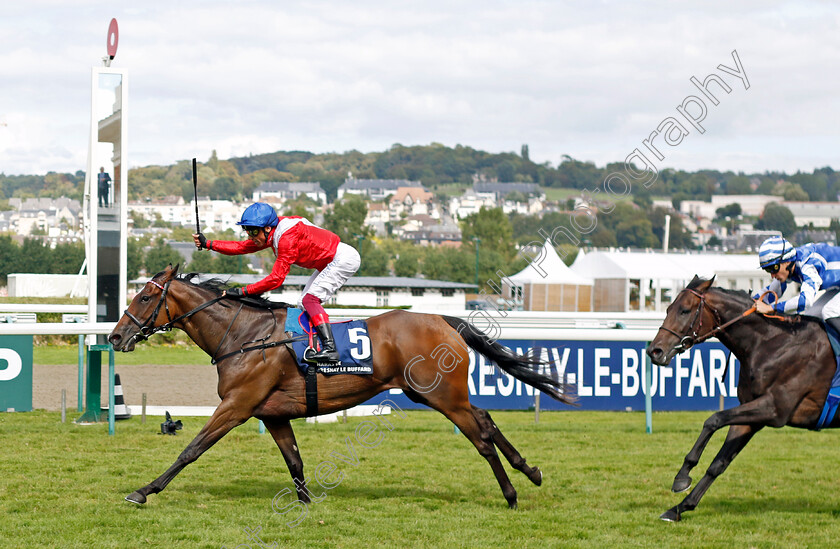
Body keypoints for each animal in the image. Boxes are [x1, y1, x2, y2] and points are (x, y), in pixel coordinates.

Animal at [108, 264, 576, 508]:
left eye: (145, 298)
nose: (114, 337)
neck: (245, 335)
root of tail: (443, 319)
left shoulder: (237, 406)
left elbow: (191, 449)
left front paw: (144, 490)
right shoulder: (272, 413)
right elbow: (294, 460)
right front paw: (304, 503)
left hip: (441, 395)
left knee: (479, 435)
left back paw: (511, 493)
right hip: (432, 393)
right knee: (486, 418)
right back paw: (530, 471)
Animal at [648, 276, 836, 520]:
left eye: (685, 310)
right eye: (668, 308)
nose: (654, 351)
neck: (773, 343)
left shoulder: (775, 408)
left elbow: (713, 419)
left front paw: (682, 476)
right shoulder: (751, 414)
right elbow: (719, 463)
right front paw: (679, 507)